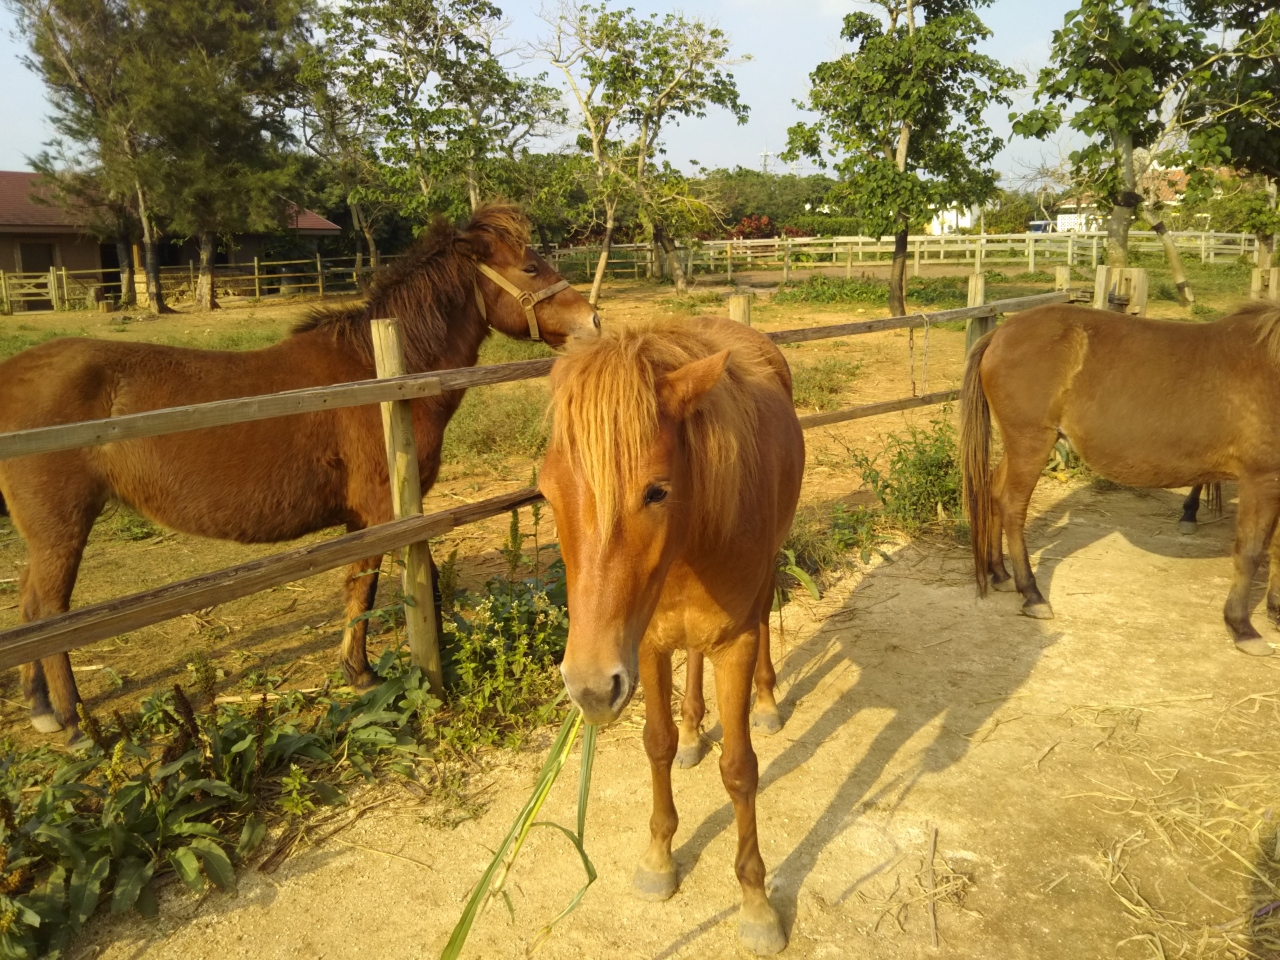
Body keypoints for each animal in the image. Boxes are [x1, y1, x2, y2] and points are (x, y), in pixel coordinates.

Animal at [0, 204, 598, 742]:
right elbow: (367, 588)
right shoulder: (383, 512)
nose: (592, 322)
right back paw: (72, 722)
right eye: (530, 268)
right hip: (62, 527)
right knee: (49, 610)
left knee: (29, 603)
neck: (381, 376)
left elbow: (375, 587)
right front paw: (362, 674)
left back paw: (41, 707)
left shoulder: (372, 516)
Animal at [540, 316, 804, 955]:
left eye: (656, 491)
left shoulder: (734, 643)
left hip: (764, 584)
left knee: (765, 618)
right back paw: (691, 731)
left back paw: (766, 702)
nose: (589, 687)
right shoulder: (649, 646)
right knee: (693, 666)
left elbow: (740, 770)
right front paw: (659, 859)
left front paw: (756, 904)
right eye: (546, 492)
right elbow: (655, 744)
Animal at [960, 301, 1280, 656]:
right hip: (1031, 443)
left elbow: (1276, 550)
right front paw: (1242, 627)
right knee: (1012, 506)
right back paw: (1031, 594)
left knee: (993, 492)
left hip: (1020, 446)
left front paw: (1275, 611)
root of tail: (1001, 333)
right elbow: (1251, 552)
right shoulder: (1261, 480)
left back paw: (1000, 574)